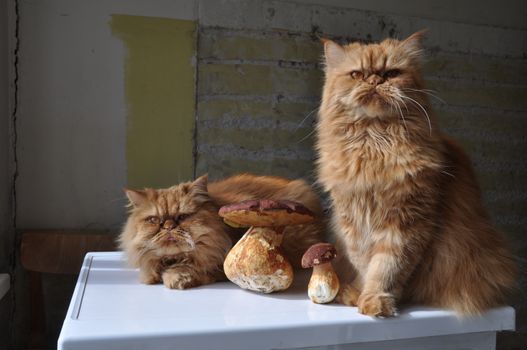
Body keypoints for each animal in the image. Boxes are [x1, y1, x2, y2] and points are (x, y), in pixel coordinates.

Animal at [119, 173, 324, 290]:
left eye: (183, 217)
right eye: (154, 220)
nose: (169, 225)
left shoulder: (216, 264)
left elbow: (190, 267)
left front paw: (176, 277)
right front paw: (152, 276)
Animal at [316, 31, 516, 316]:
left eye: (391, 73)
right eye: (357, 74)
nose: (375, 80)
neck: (374, 142)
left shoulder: (406, 222)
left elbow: (386, 268)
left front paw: (376, 299)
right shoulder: (351, 221)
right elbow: (363, 263)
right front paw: (357, 293)